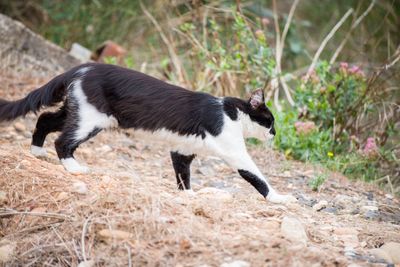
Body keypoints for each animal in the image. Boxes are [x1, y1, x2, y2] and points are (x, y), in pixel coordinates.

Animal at [0, 63, 296, 204]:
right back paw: (74, 168)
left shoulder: (182, 149)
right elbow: (257, 176)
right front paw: (280, 198)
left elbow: (183, 175)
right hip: (91, 119)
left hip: (79, 109)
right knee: (63, 140)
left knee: (45, 119)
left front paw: (188, 196)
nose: (275, 134)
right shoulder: (234, 151)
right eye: (270, 121)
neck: (230, 112)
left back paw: (36, 151)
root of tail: (82, 67)